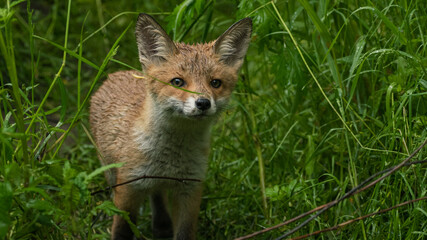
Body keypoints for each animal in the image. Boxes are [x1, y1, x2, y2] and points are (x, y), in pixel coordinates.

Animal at [89, 13, 252, 240]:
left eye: (215, 83)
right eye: (177, 82)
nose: (203, 103)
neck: (171, 160)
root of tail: (117, 74)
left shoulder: (190, 188)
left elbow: (184, 232)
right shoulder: (128, 187)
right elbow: (121, 230)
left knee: (157, 195)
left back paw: (162, 226)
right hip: (110, 171)